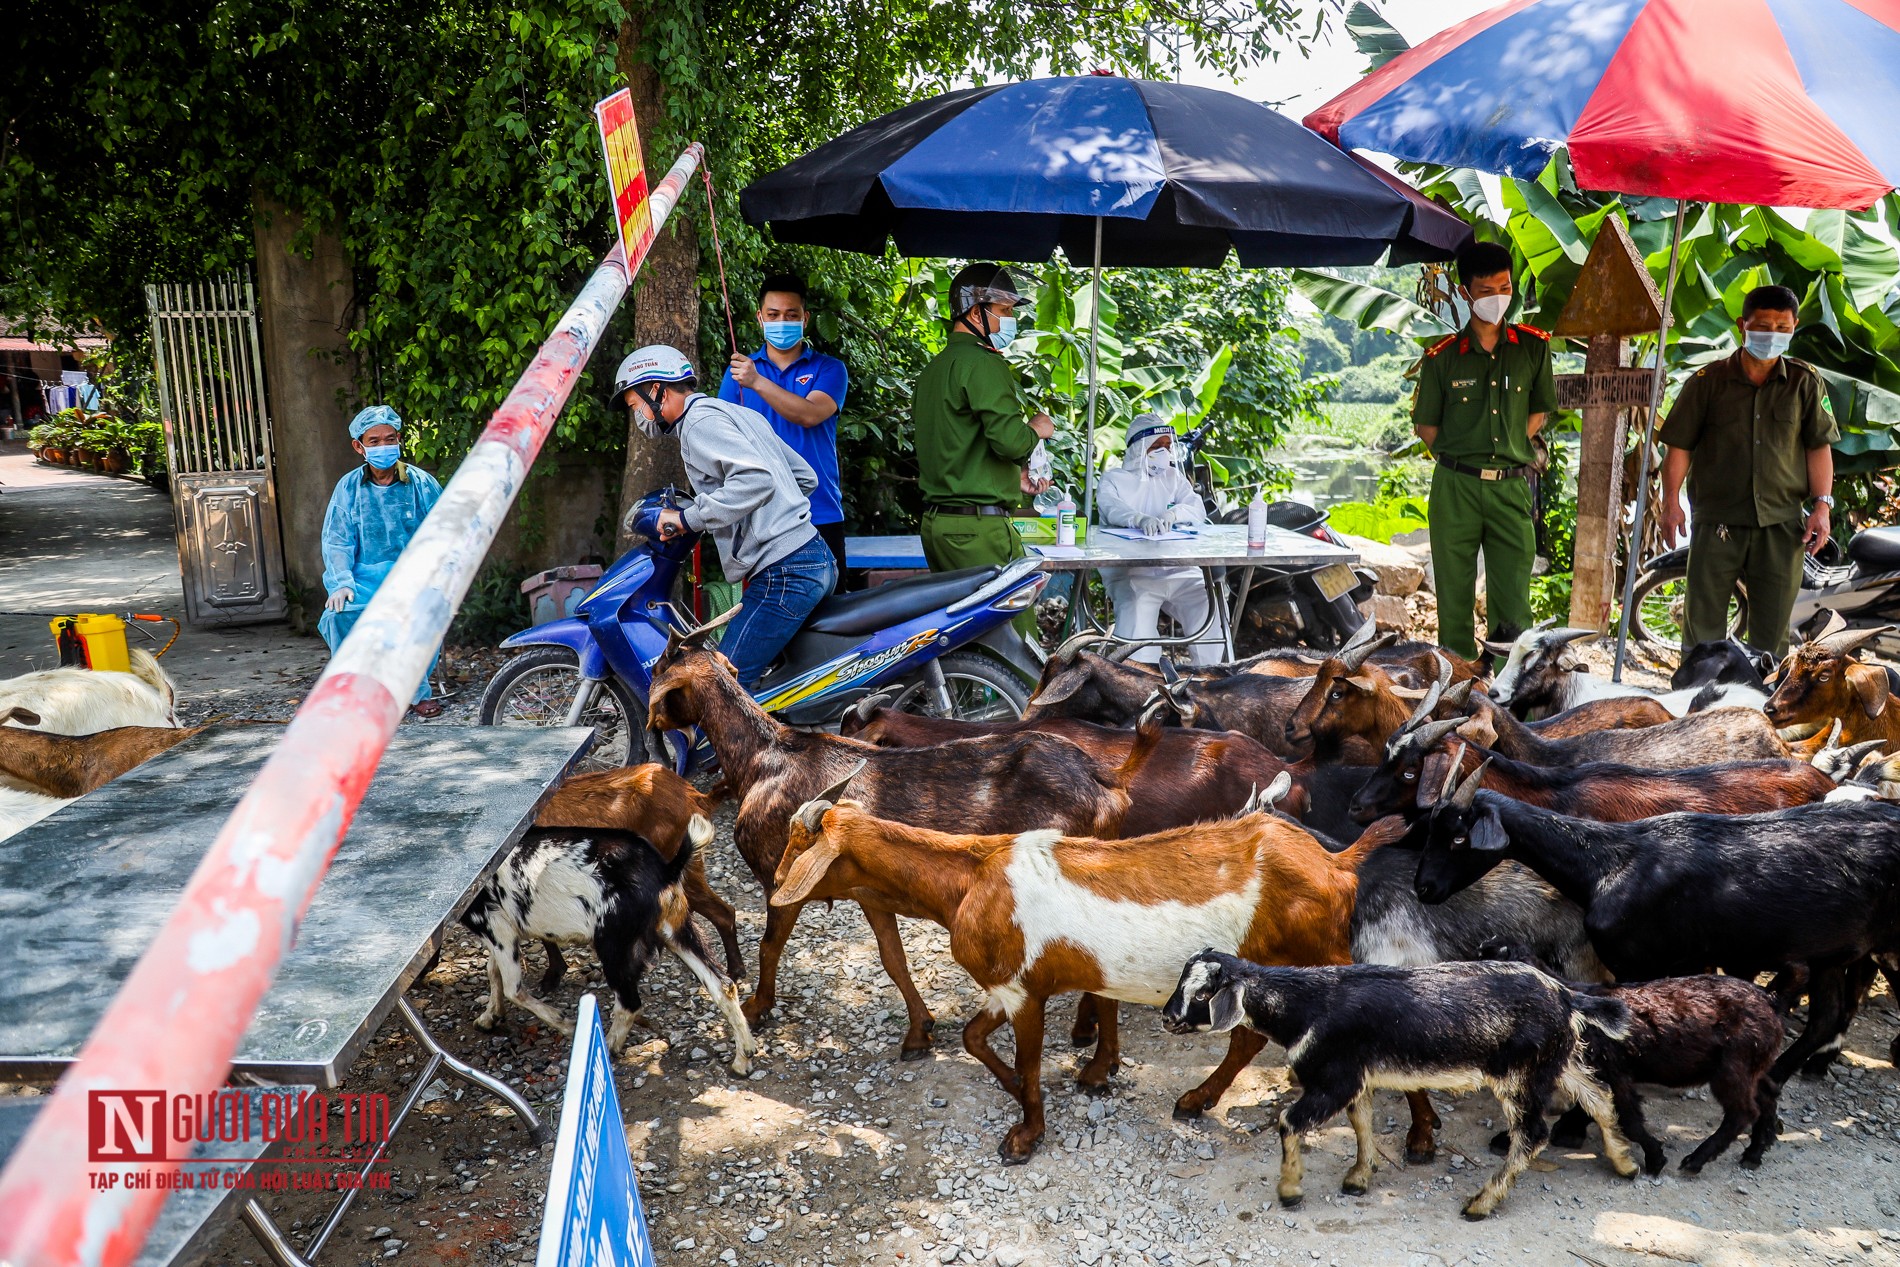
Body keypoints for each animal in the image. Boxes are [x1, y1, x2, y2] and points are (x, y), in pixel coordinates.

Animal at [461, 813, 756, 1071]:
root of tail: (664, 871)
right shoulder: (497, 934)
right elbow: (492, 971)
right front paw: (489, 1017)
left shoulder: (495, 926)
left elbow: (514, 989)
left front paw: (565, 1024)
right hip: (676, 928)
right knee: (723, 985)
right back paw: (743, 1058)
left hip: (613, 944)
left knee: (629, 1002)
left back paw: (609, 1047)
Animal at [646, 638, 1155, 1063]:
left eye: (658, 670)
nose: (655, 733)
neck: (763, 758)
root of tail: (1107, 780)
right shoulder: (871, 894)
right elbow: (893, 958)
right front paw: (919, 1032)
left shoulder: (780, 876)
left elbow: (770, 945)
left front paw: (758, 1006)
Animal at [1155, 949, 1634, 1215]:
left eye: (1202, 994)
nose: (1168, 1018)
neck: (1305, 1005)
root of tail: (1566, 995)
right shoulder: (1357, 1077)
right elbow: (1362, 1122)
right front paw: (1359, 1178)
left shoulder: (1334, 1078)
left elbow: (1290, 1121)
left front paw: (1290, 1189)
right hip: (1557, 1059)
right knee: (1598, 1097)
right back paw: (1624, 1162)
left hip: (1520, 1075)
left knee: (1532, 1135)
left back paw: (1481, 1203)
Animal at [1413, 767, 1900, 1086]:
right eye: (1430, 830)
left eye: (1459, 837)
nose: (1424, 887)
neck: (1609, 863)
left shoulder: (1637, 962)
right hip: (1833, 951)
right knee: (1825, 1017)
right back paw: (1778, 1076)